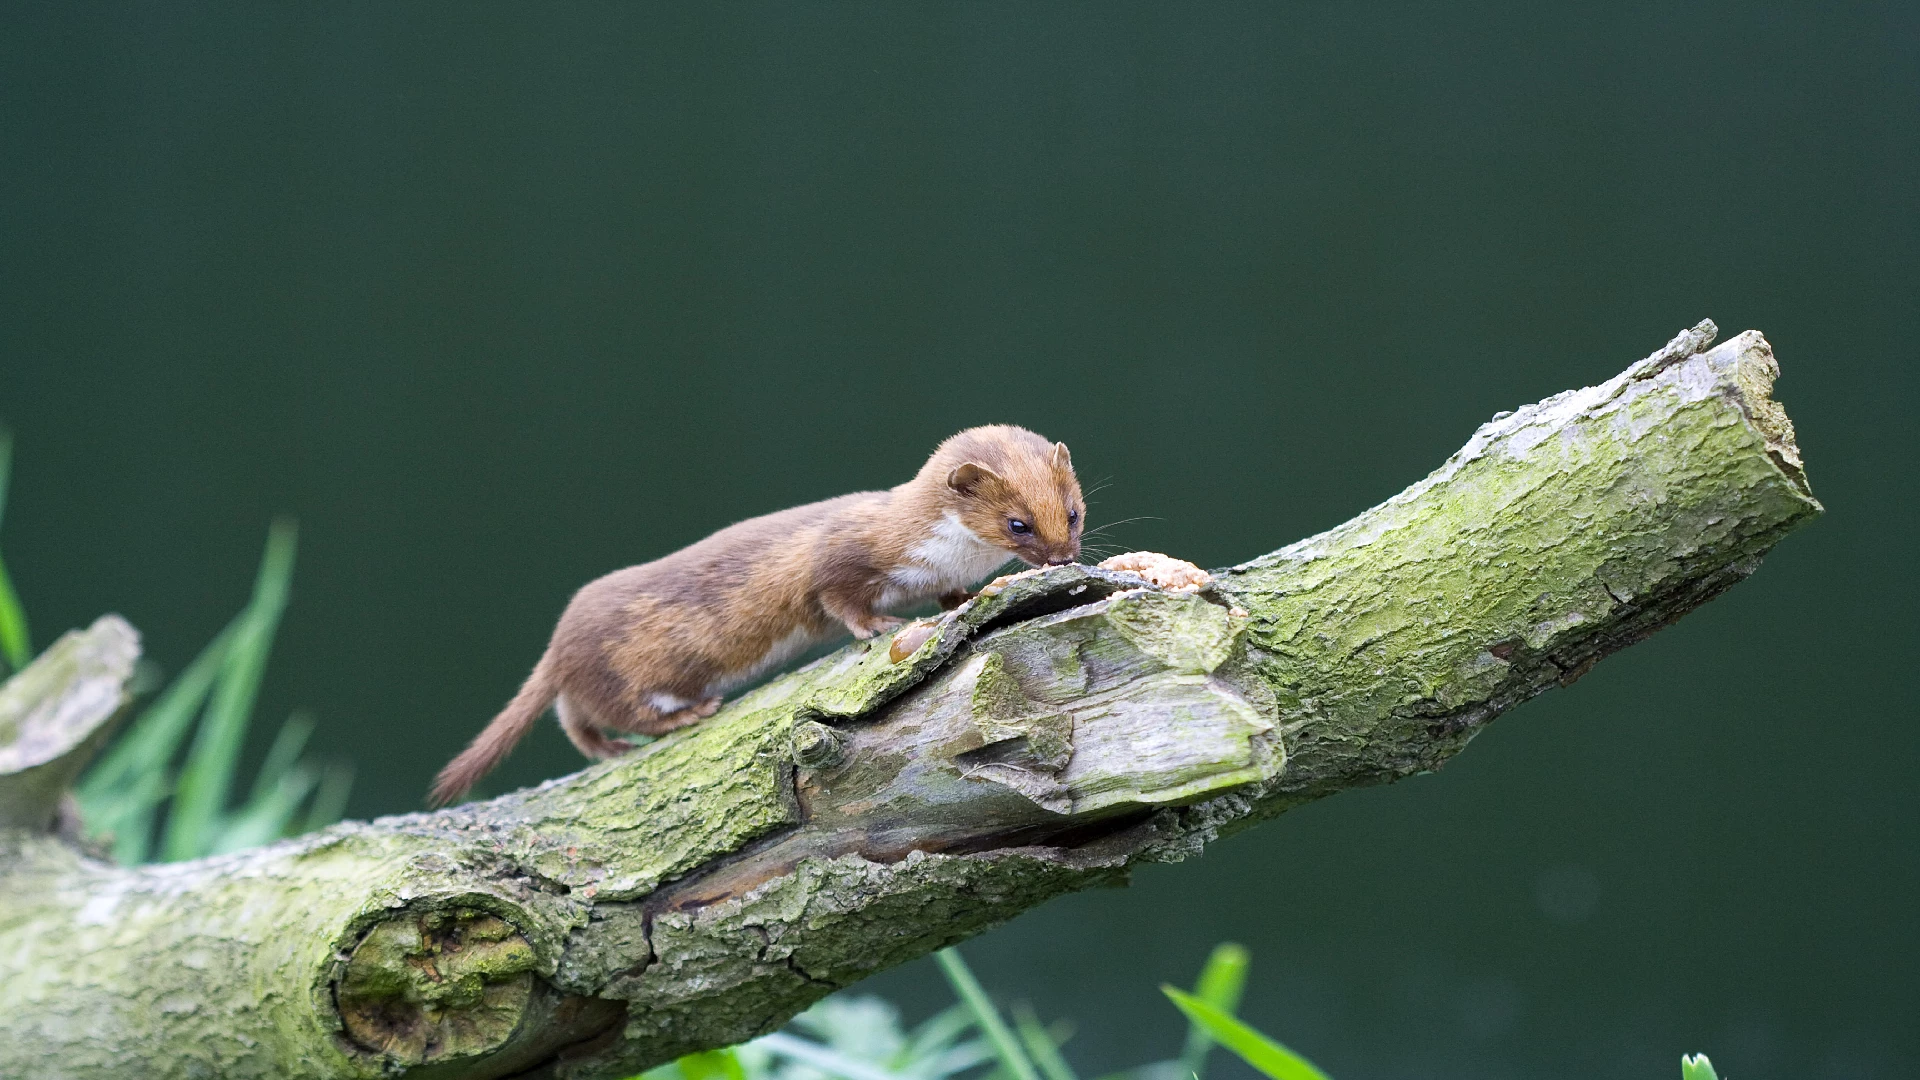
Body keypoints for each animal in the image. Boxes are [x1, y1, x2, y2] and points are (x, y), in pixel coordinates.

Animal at [432, 424, 1082, 803]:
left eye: (1073, 511)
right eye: (1017, 523)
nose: (1064, 558)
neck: (940, 553)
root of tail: (560, 642)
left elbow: (948, 596)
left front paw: (959, 601)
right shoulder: (840, 554)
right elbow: (837, 597)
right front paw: (878, 626)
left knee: (575, 720)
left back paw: (609, 749)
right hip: (626, 669)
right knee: (617, 709)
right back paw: (686, 714)